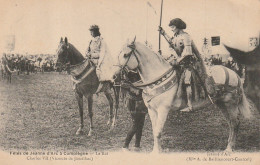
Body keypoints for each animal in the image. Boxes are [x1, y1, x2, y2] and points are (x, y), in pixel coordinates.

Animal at [111, 38, 252, 153]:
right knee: (231, 124)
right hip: (222, 104)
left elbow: (158, 132)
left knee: (235, 123)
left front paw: (157, 153)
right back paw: (229, 145)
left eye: (125, 54)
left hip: (230, 104)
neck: (156, 78)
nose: (113, 76)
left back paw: (229, 149)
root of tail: (235, 74)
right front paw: (157, 150)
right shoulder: (151, 110)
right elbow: (155, 130)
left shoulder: (163, 109)